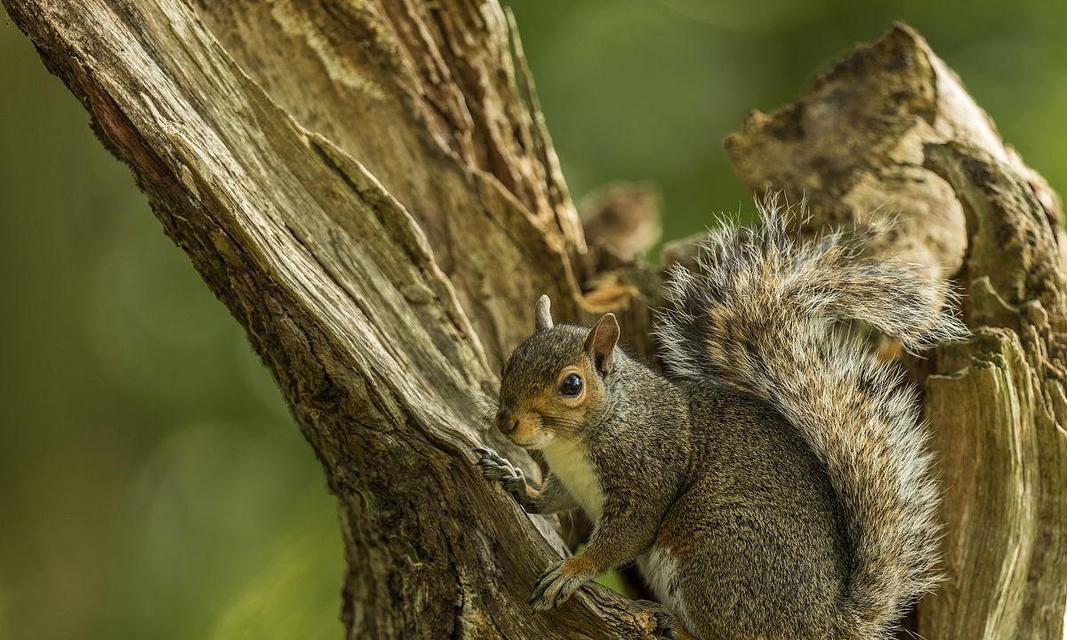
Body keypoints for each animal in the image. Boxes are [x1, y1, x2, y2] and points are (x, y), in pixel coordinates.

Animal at [475, 205, 968, 640]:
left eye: (572, 384)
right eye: (511, 359)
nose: (507, 422)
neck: (579, 439)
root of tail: (824, 625)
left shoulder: (646, 472)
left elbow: (621, 539)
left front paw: (571, 571)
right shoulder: (568, 479)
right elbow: (551, 499)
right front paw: (514, 480)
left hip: (713, 555)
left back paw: (674, 624)